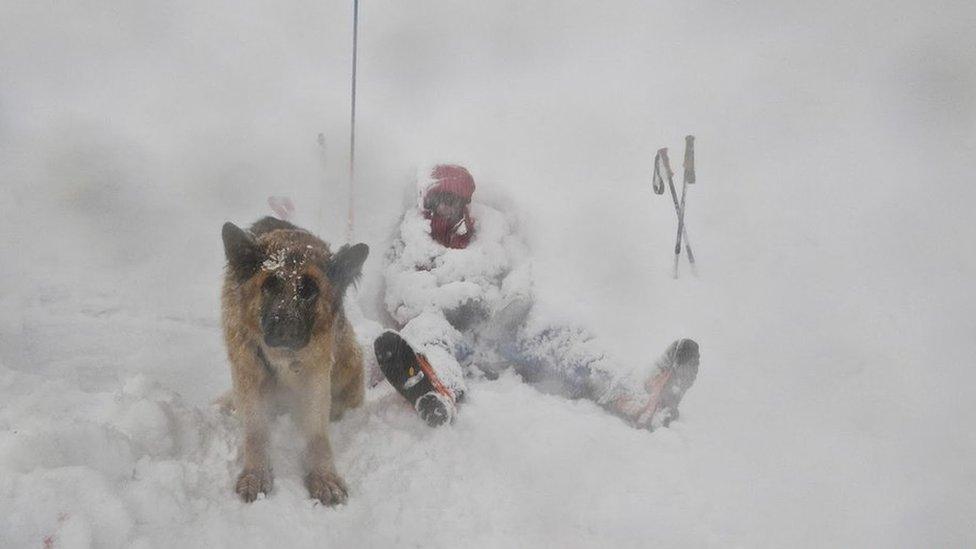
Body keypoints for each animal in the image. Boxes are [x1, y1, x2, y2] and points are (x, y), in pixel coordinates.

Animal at [219, 216, 368, 504]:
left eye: (309, 290)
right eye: (269, 285)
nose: (285, 329)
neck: (282, 359)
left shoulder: (315, 377)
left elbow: (317, 435)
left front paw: (323, 476)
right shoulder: (248, 374)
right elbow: (255, 431)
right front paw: (256, 474)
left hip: (349, 361)